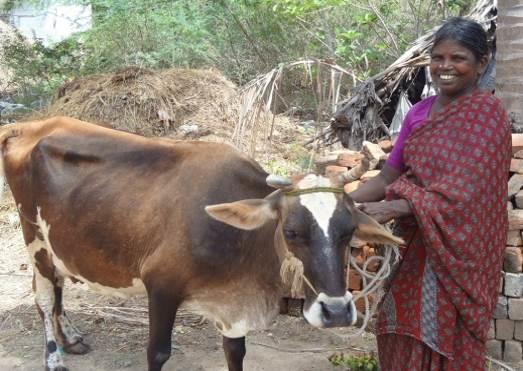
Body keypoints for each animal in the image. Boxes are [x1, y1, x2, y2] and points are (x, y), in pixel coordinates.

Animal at [0, 117, 404, 371]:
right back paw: (54, 357)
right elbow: (157, 353)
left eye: (349, 230)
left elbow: (236, 352)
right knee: (44, 296)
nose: (336, 312)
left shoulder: (232, 307)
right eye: (291, 232)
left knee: (58, 286)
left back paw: (71, 338)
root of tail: (31, 125)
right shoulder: (161, 287)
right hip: (34, 238)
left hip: (58, 243)